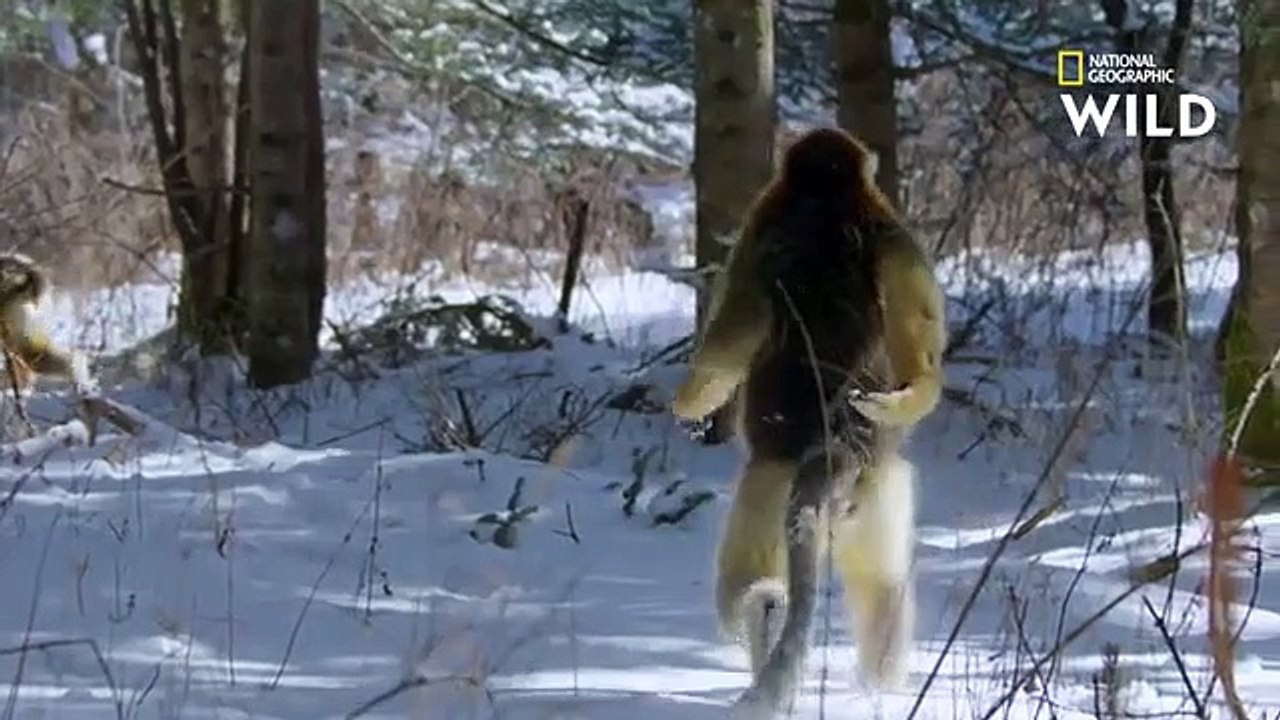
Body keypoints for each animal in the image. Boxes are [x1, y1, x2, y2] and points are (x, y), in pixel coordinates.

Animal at [671, 127, 945, 717]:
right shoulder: (894, 240)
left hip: (768, 486)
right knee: (884, 588)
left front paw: (687, 405)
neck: (825, 196)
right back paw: (880, 689)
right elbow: (923, 365)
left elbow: (725, 343)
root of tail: (831, 447)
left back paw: (766, 616)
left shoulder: (762, 228)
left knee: (748, 584)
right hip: (877, 495)